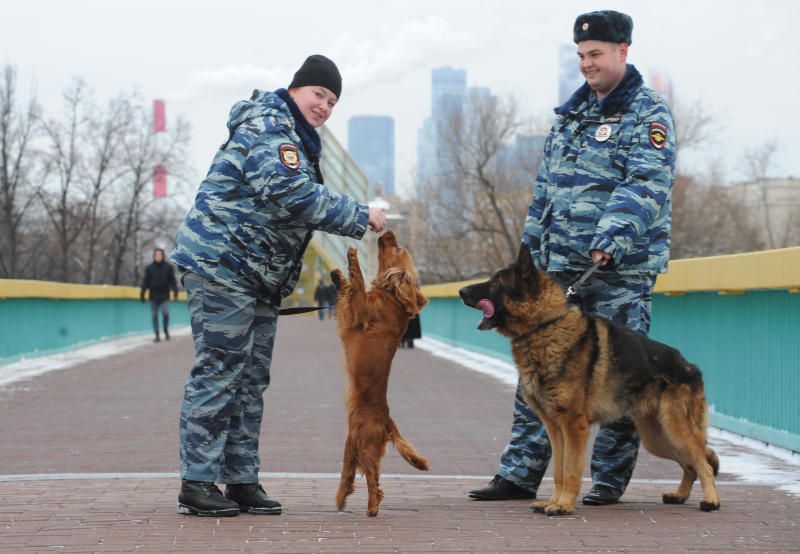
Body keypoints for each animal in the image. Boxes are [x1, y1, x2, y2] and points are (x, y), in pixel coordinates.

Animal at [330, 229, 432, 512]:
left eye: (396, 248)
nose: (387, 231)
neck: (392, 298)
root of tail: (388, 421)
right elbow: (349, 286)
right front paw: (336, 275)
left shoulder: (360, 308)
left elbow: (357, 282)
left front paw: (351, 256)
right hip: (350, 444)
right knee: (349, 474)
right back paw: (341, 499)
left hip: (365, 445)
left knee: (373, 478)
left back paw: (372, 508)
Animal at [456, 245, 720, 512]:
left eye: (496, 282)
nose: (460, 291)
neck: (545, 324)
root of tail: (691, 367)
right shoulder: (554, 428)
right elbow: (559, 470)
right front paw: (553, 502)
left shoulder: (574, 426)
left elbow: (571, 470)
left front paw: (563, 506)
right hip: (657, 438)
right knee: (691, 465)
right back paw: (680, 495)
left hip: (675, 430)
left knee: (704, 463)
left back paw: (711, 500)